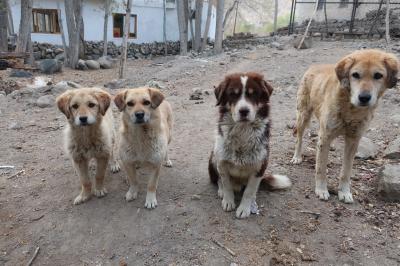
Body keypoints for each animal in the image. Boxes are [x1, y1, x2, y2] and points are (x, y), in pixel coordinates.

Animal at [209, 72, 290, 218]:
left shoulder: (260, 166)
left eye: (253, 94)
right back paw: (221, 191)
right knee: (218, 179)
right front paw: (228, 201)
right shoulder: (222, 162)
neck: (243, 131)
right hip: (213, 156)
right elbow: (226, 183)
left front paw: (244, 208)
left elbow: (249, 191)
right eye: (233, 94)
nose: (244, 111)